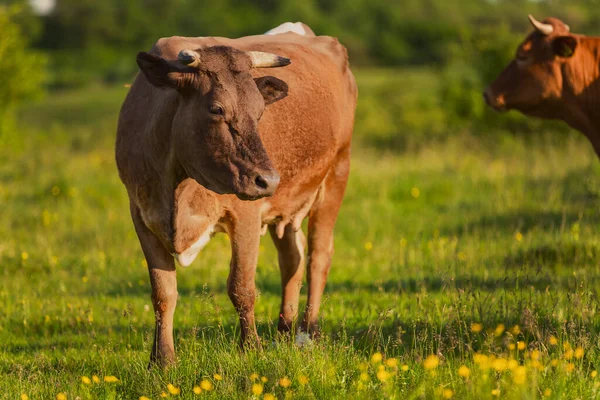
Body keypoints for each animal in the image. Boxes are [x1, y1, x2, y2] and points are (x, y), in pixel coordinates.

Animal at [116, 24, 356, 366]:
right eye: (216, 108)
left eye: (260, 111)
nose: (268, 180)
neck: (175, 185)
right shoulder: (142, 214)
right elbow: (163, 292)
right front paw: (161, 360)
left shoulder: (246, 214)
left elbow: (241, 287)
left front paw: (251, 348)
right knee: (292, 259)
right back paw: (284, 331)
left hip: (336, 173)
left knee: (318, 256)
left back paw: (307, 332)